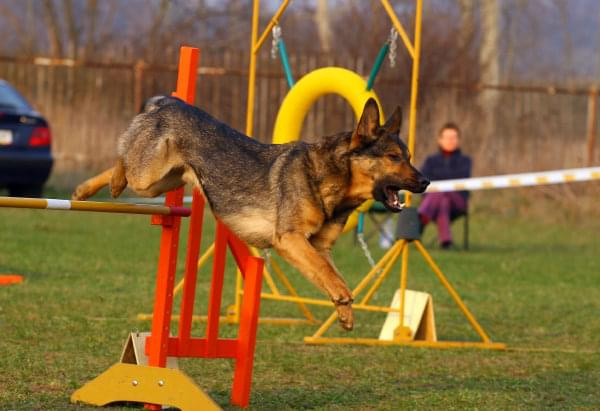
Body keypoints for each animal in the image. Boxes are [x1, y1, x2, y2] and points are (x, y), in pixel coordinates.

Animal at [72, 97, 428, 332]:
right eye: (394, 157)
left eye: (409, 156)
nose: (425, 182)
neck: (332, 178)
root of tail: (165, 102)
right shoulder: (290, 240)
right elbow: (336, 280)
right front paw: (344, 303)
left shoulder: (319, 248)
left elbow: (332, 276)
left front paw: (345, 314)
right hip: (148, 177)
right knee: (123, 161)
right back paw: (106, 185)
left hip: (163, 182)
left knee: (119, 167)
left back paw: (86, 191)